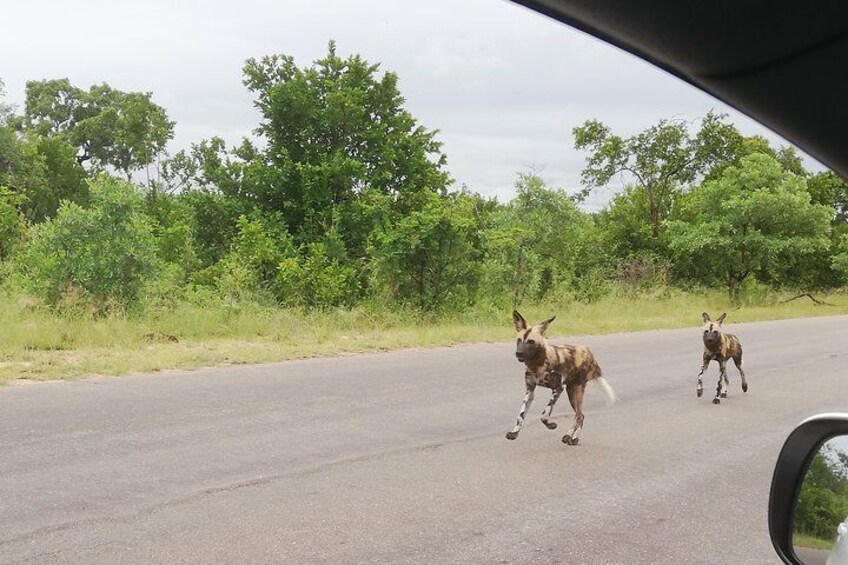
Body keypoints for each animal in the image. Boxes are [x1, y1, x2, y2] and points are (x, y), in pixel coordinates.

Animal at [504, 308, 616, 446]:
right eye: (519, 340)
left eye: (531, 342)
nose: (518, 353)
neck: (537, 364)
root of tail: (589, 353)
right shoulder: (530, 391)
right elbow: (521, 415)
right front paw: (514, 433)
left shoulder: (557, 389)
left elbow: (544, 415)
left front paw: (551, 425)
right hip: (571, 392)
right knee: (580, 415)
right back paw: (570, 437)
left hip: (575, 390)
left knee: (579, 416)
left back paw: (572, 437)